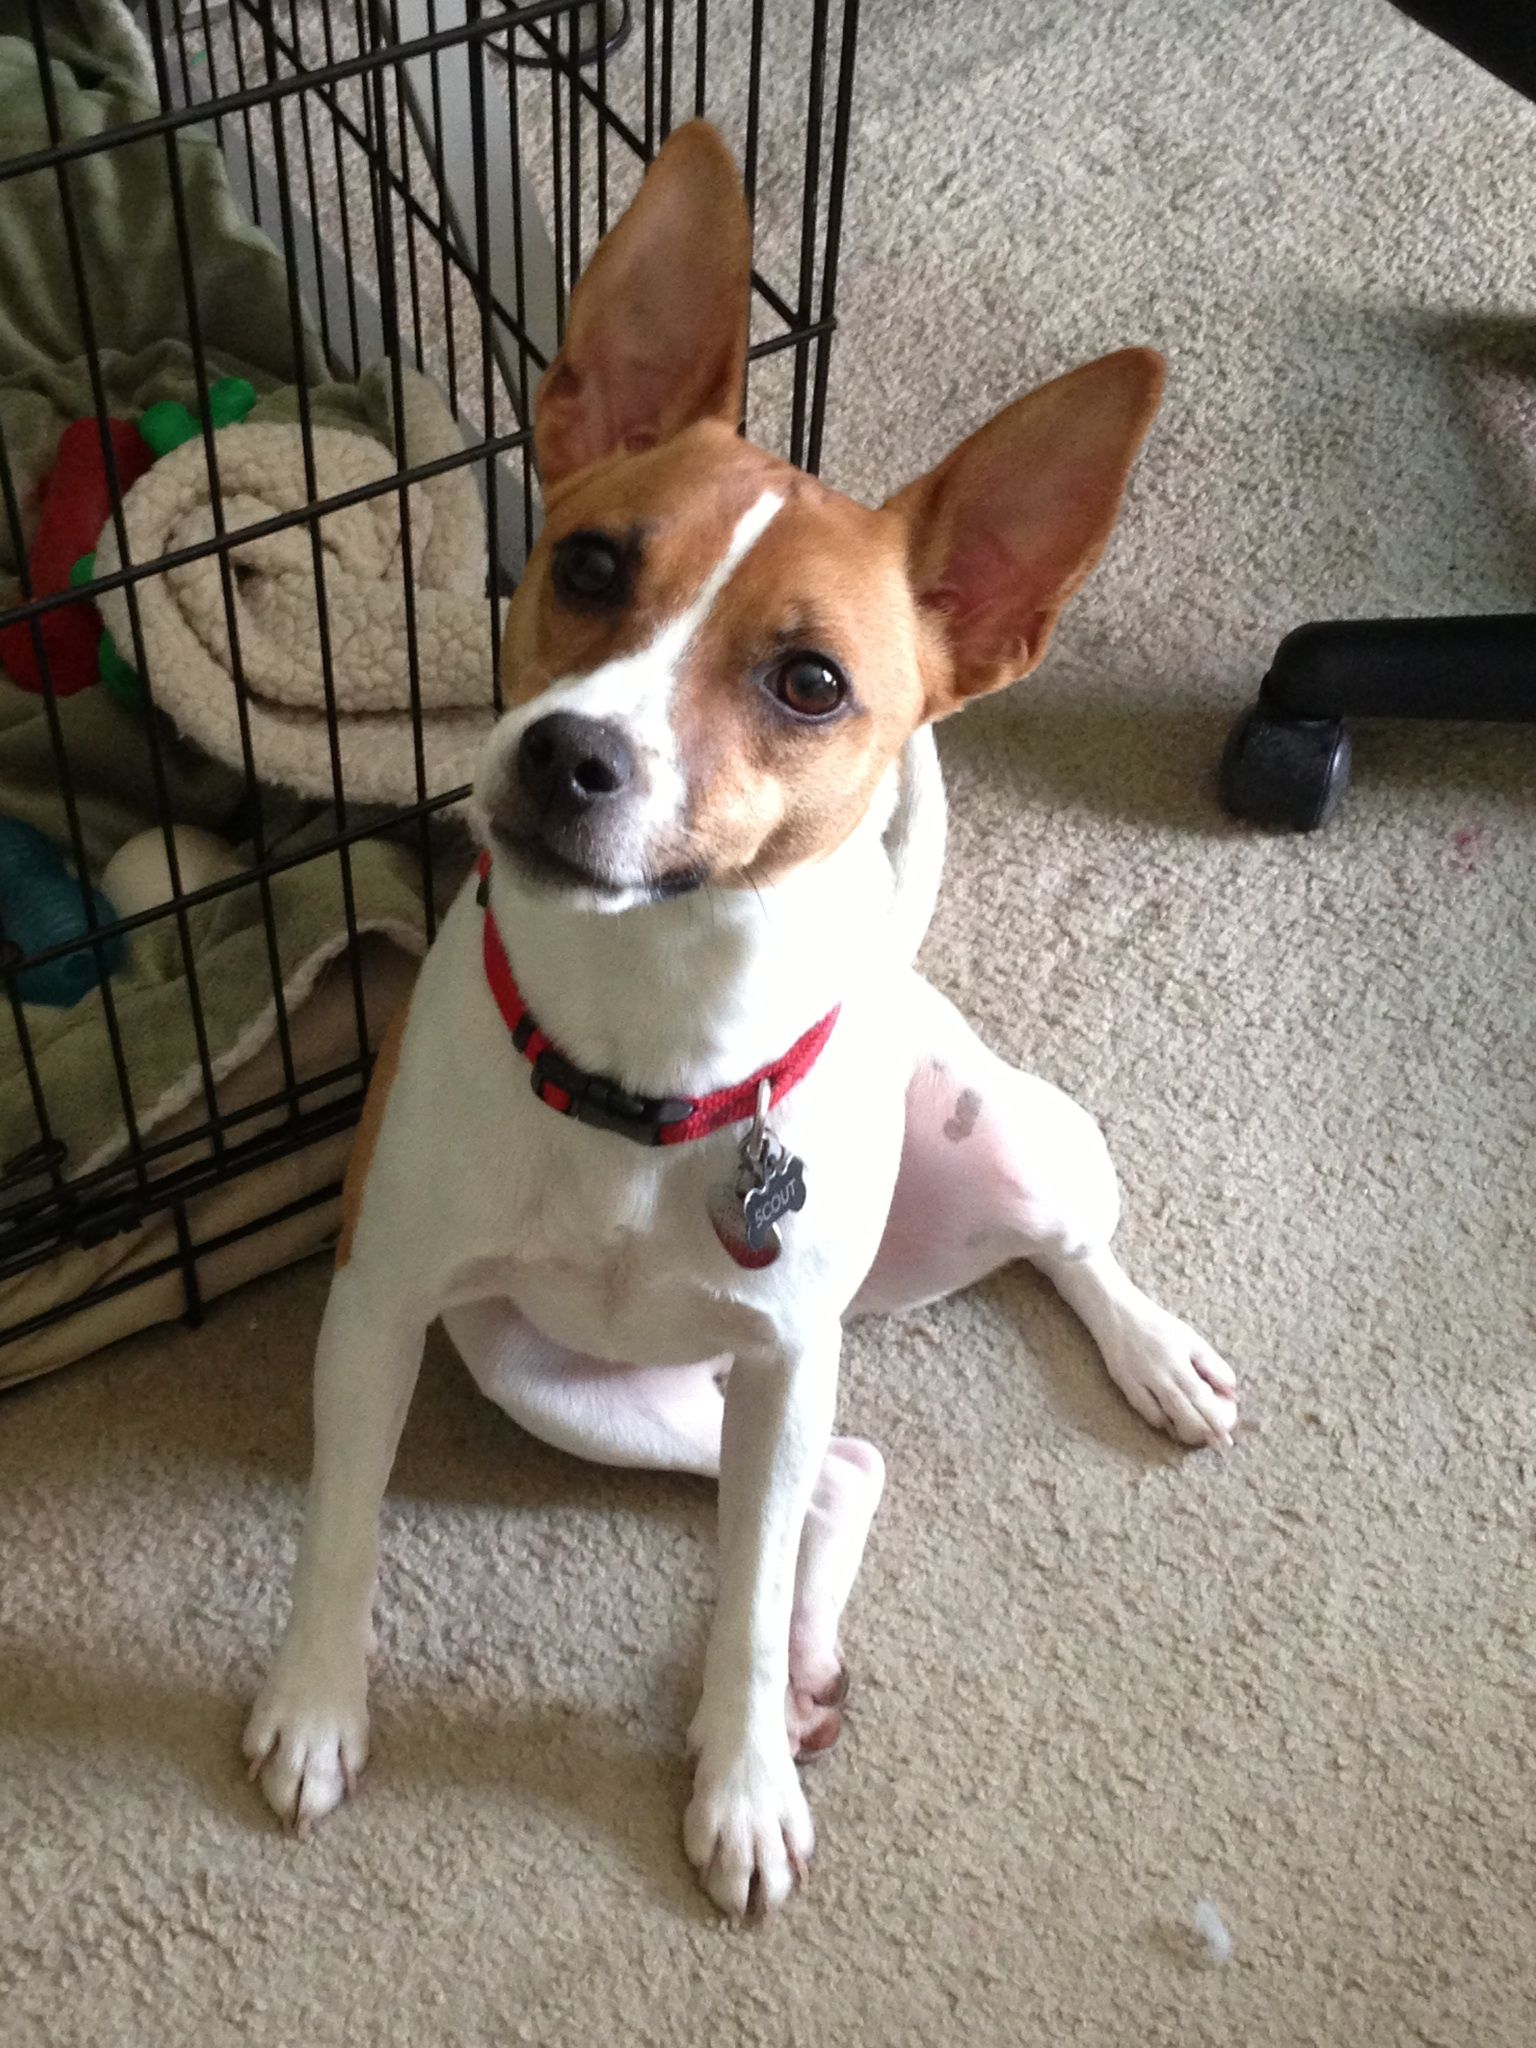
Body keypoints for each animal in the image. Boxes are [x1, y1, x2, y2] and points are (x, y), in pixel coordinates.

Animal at [246, 123, 1245, 1916]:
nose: (569, 755)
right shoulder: (379, 1312)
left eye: (810, 683)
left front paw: (743, 1780)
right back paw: (802, 1667)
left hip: (995, 1164)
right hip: (577, 1386)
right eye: (587, 565)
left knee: (1049, 1270)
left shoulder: (789, 1353)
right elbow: (340, 1525)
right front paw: (313, 1706)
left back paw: (1146, 1360)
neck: (646, 1040)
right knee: (839, 1479)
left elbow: (740, 1589)